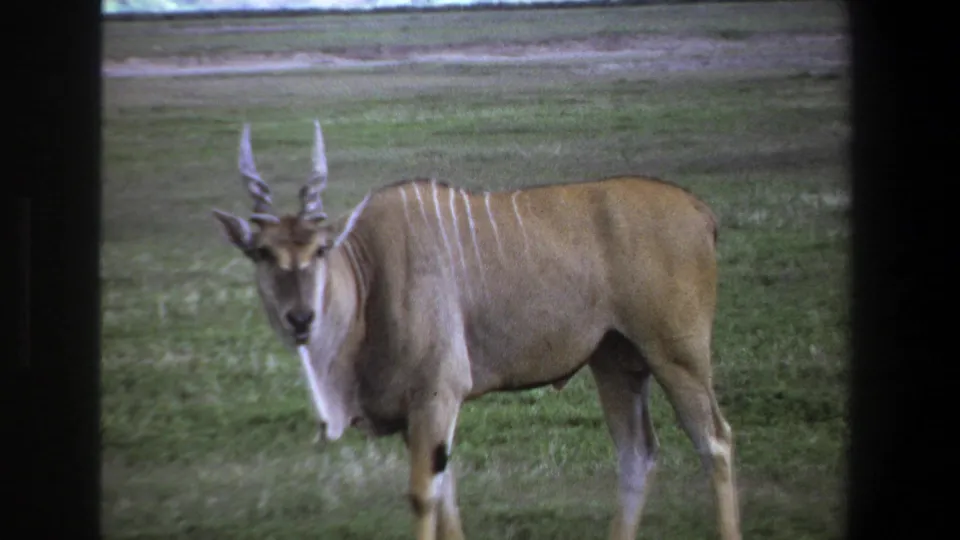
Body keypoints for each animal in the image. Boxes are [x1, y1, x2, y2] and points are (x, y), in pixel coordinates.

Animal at [211, 120, 741, 540]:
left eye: (319, 249)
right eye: (262, 253)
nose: (300, 318)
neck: (368, 276)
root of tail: (700, 211)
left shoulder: (436, 395)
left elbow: (424, 497)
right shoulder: (422, 414)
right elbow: (447, 497)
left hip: (676, 355)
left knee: (714, 442)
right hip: (615, 359)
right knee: (637, 455)